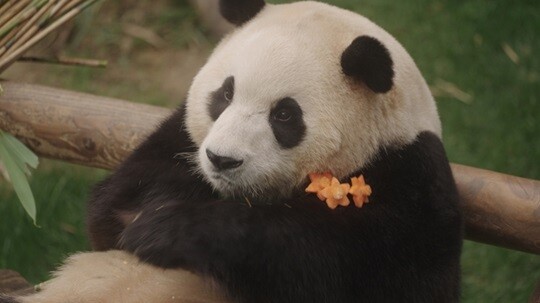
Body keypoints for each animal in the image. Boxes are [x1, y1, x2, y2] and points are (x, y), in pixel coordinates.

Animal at [2, 0, 462, 303]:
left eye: (284, 115)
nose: (222, 160)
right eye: (225, 93)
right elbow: (110, 208)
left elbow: (323, 261)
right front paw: (152, 210)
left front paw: (171, 229)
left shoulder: (412, 190)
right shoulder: (175, 136)